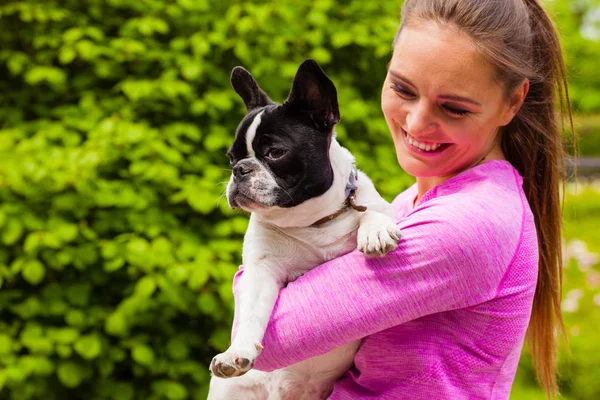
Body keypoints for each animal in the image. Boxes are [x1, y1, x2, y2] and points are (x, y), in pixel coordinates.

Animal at [209, 59, 400, 400]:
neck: (313, 221)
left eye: (275, 152)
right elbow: (250, 314)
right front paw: (235, 352)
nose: (239, 169)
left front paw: (374, 229)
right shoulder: (260, 272)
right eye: (231, 157)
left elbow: (371, 211)